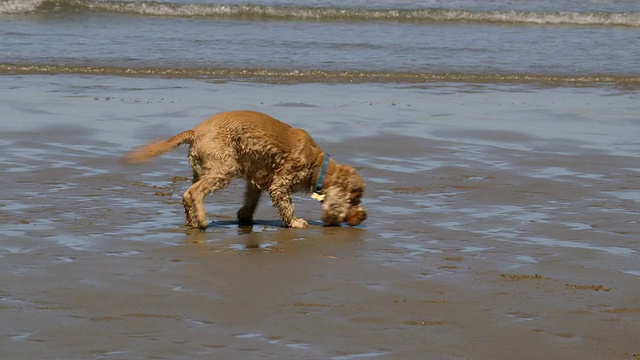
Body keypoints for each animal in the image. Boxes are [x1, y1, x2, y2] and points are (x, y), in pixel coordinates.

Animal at [123, 109, 368, 229]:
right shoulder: (280, 182)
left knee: (186, 195)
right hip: (223, 167)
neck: (318, 164)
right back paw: (201, 220)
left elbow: (251, 201)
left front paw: (245, 218)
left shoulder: (257, 179)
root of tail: (195, 131)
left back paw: (192, 222)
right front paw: (296, 223)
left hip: (201, 169)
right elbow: (287, 205)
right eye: (355, 199)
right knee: (194, 193)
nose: (364, 217)